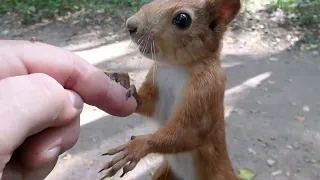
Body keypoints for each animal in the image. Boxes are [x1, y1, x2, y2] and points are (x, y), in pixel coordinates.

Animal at [99, 0, 240, 179]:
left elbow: (189, 132)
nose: (130, 25)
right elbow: (147, 105)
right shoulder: (156, 81)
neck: (174, 67)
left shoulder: (207, 90)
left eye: (182, 19)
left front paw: (136, 147)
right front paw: (124, 83)